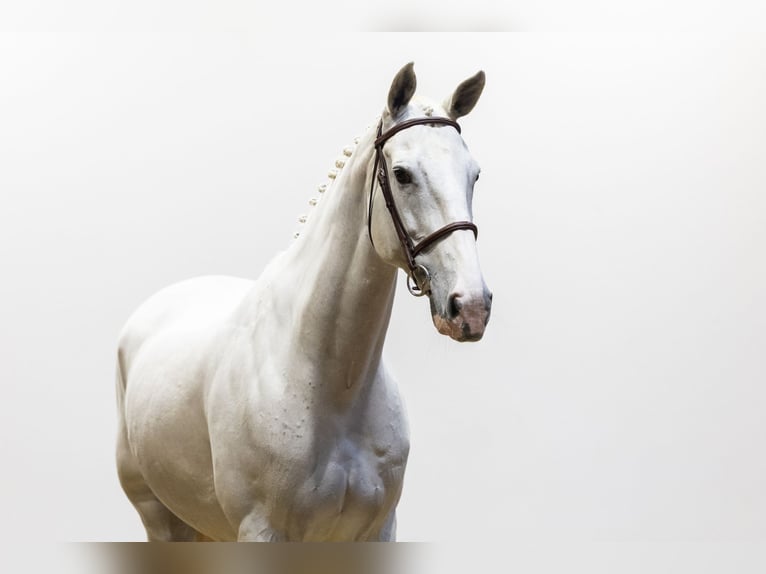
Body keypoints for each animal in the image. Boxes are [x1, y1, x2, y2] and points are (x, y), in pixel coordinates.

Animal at [115, 62, 492, 541]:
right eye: (402, 173)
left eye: (474, 174)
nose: (471, 306)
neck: (331, 385)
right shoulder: (262, 532)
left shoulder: (377, 530)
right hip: (160, 519)